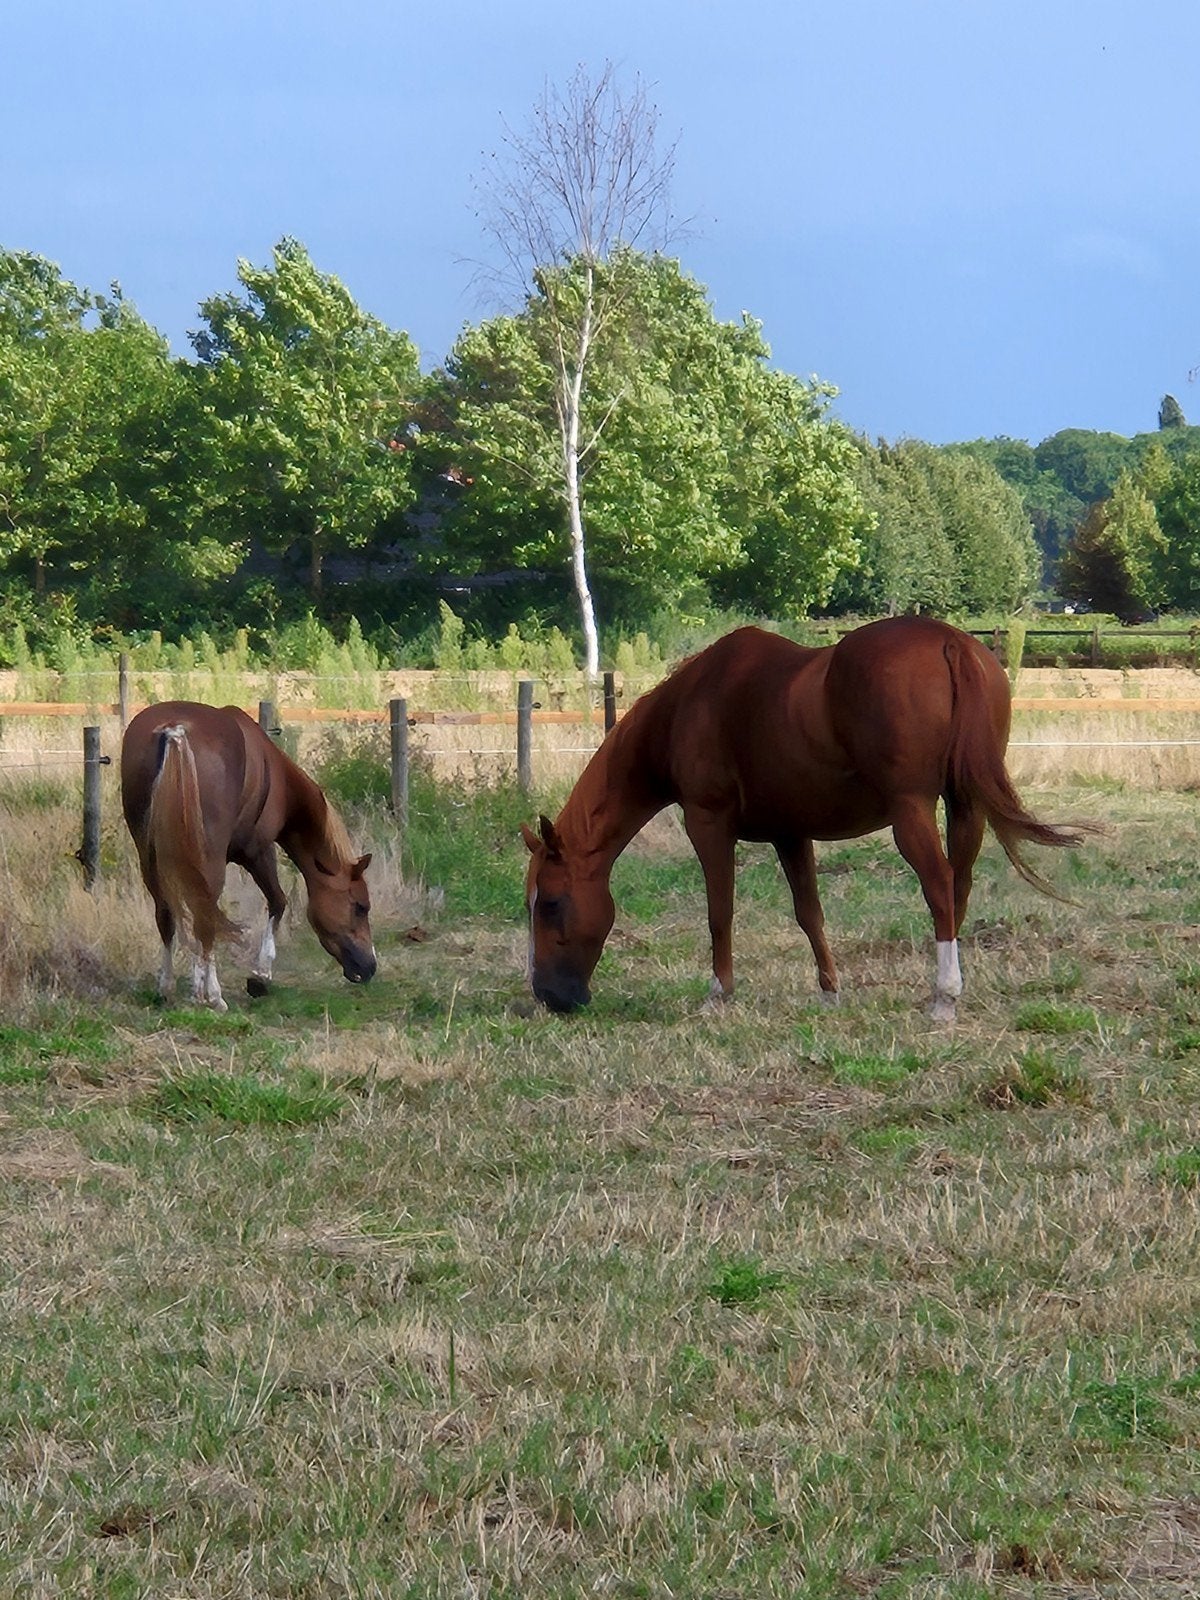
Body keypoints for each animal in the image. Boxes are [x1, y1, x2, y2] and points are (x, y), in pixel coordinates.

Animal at [121, 702, 376, 1011]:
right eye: (360, 907)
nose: (370, 967)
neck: (277, 778)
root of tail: (174, 730)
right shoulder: (258, 852)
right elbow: (278, 901)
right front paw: (259, 976)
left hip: (150, 857)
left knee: (167, 914)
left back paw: (166, 988)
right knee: (204, 916)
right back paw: (214, 996)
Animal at [523, 618, 1087, 1023]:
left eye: (550, 903)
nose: (549, 997)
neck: (691, 704)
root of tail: (949, 642)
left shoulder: (708, 825)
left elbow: (719, 912)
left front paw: (718, 994)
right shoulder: (790, 834)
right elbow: (809, 914)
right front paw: (830, 991)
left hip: (911, 811)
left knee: (939, 885)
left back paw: (944, 997)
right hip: (964, 807)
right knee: (960, 885)